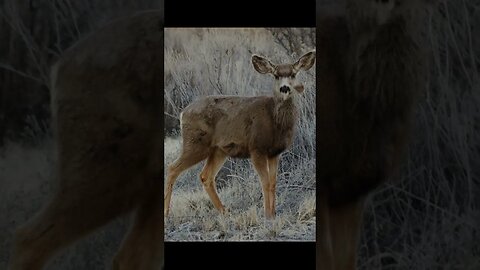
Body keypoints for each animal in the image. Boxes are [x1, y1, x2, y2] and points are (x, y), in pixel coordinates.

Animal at [163, 50, 316, 219]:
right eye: (276, 75)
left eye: (293, 74)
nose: (284, 88)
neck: (275, 121)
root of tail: (182, 113)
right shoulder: (256, 148)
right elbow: (265, 182)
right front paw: (267, 214)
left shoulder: (274, 153)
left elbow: (273, 182)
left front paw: (273, 213)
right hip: (196, 143)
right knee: (172, 168)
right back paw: (166, 212)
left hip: (218, 150)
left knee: (205, 176)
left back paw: (224, 211)